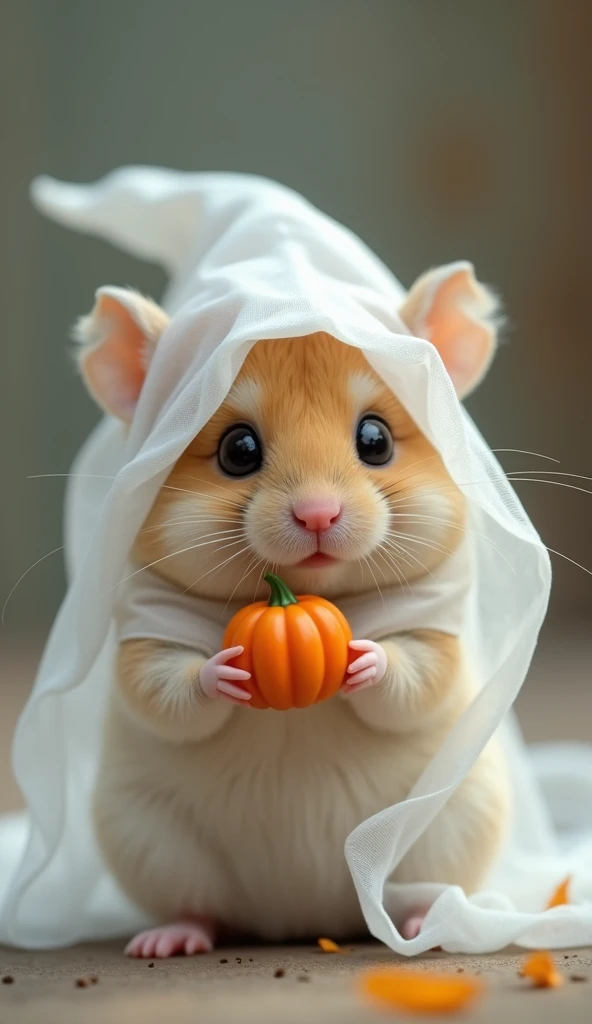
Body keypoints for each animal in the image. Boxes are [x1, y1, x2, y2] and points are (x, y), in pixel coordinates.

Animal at [74, 268, 508, 954]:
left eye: (376, 440)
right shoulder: (147, 628)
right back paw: (168, 939)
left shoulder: (434, 624)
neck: (302, 595)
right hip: (149, 842)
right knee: (197, 908)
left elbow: (412, 679)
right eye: (238, 449)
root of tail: (302, 920)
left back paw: (426, 925)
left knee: (415, 894)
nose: (318, 515)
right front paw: (224, 671)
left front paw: (365, 657)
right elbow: (168, 691)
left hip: (448, 823)